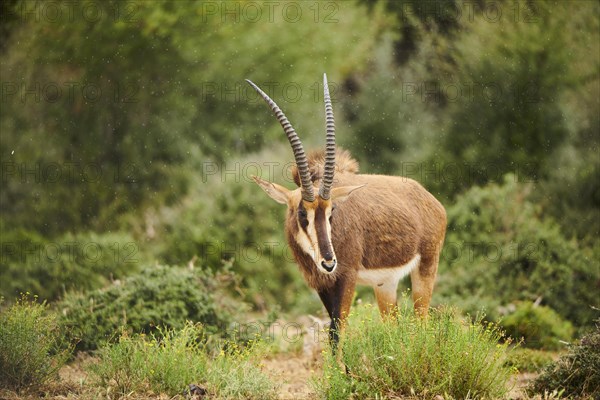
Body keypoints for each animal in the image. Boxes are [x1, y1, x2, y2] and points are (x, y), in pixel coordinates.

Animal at [246, 75, 448, 346]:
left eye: (331, 212)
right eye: (302, 213)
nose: (329, 262)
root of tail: (431, 200)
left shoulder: (346, 277)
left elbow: (337, 332)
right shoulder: (321, 283)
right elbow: (333, 330)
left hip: (426, 267)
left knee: (422, 321)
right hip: (385, 284)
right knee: (393, 326)